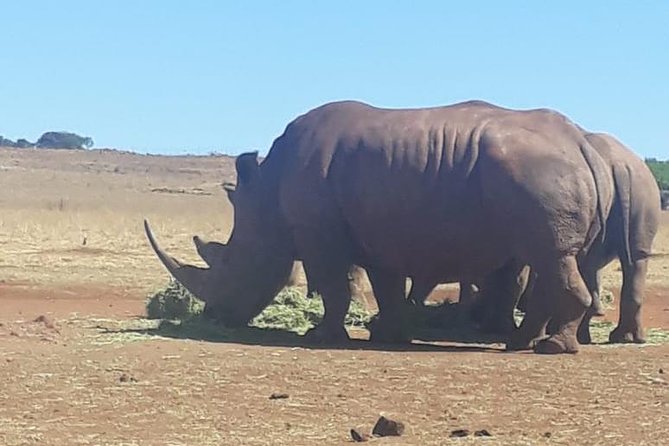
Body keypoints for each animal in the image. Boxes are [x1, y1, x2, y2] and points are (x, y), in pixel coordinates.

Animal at [145, 99, 614, 354]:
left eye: (234, 264)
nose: (215, 317)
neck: (267, 198)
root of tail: (582, 142)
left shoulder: (320, 234)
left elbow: (335, 286)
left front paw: (322, 336)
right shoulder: (377, 231)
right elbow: (384, 284)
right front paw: (386, 334)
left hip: (537, 172)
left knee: (550, 256)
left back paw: (551, 348)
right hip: (540, 173)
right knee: (545, 259)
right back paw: (522, 343)